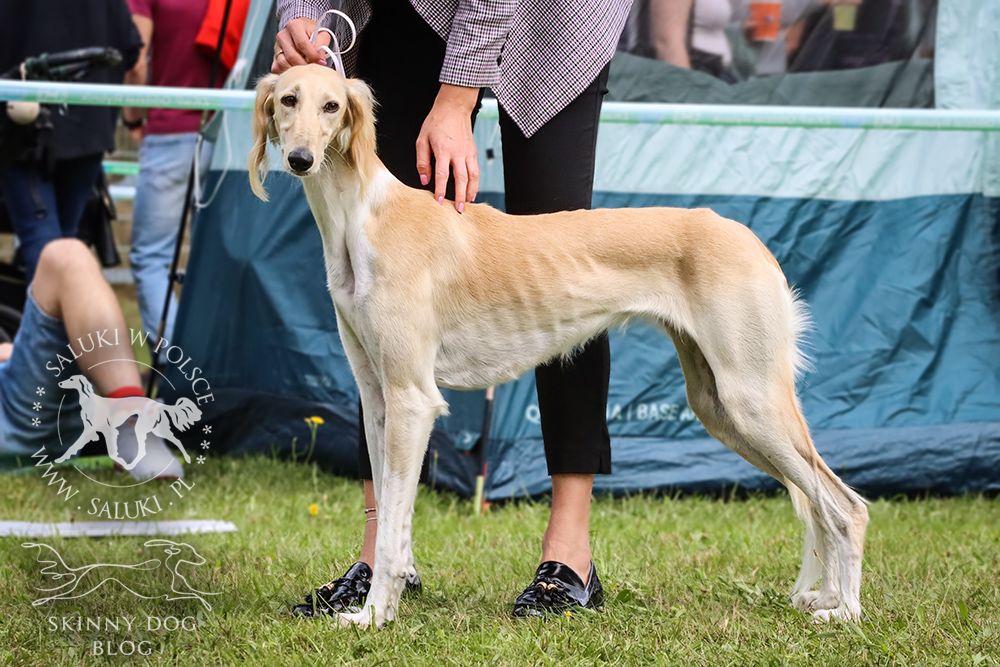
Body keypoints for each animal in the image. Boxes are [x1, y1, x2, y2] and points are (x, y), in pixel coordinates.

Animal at [56, 376, 203, 470]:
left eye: (71, 379)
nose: (60, 384)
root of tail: (158, 404)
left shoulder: (108, 430)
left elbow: (111, 452)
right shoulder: (90, 430)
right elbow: (73, 447)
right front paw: (60, 459)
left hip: (145, 429)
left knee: (165, 444)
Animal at [248, 65, 868, 628]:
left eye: (332, 106)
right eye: (287, 99)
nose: (300, 158)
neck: (364, 221)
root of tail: (751, 240)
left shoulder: (412, 400)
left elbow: (395, 532)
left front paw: (377, 616)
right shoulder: (379, 400)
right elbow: (388, 518)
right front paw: (371, 605)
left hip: (751, 399)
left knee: (845, 507)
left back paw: (844, 611)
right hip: (718, 405)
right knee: (818, 503)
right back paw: (826, 598)